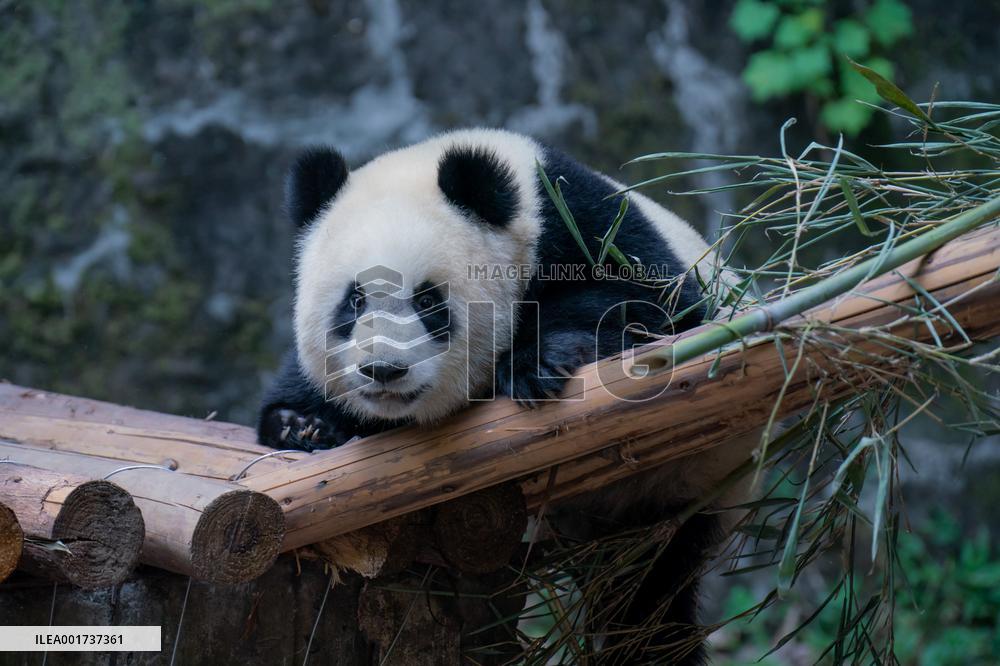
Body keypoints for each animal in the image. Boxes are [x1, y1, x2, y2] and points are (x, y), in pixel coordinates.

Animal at [258, 128, 753, 664]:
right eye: (355, 300)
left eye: (428, 300)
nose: (384, 369)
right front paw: (303, 424)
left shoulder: (587, 221)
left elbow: (653, 307)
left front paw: (535, 365)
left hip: (689, 478)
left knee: (650, 591)